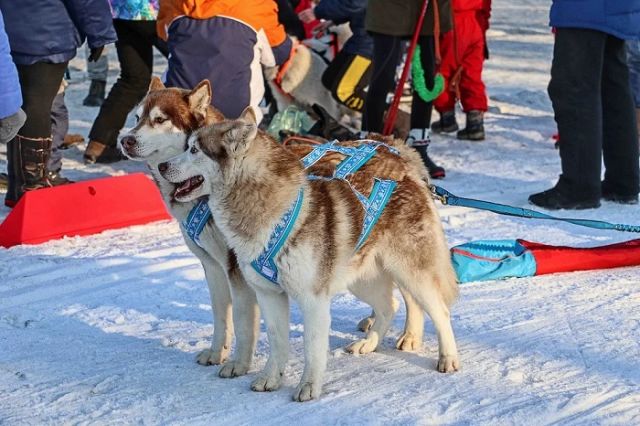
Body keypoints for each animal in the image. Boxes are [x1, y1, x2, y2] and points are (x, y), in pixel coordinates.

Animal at [159, 108, 460, 402]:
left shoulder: (312, 300)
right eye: (186, 145)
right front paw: (271, 378)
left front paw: (309, 386)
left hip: (412, 274)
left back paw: (447, 357)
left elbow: (311, 347)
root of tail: (408, 177)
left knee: (440, 311)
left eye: (195, 150)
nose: (162, 167)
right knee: (390, 306)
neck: (272, 214)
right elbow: (277, 340)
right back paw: (369, 343)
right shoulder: (269, 294)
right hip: (361, 279)